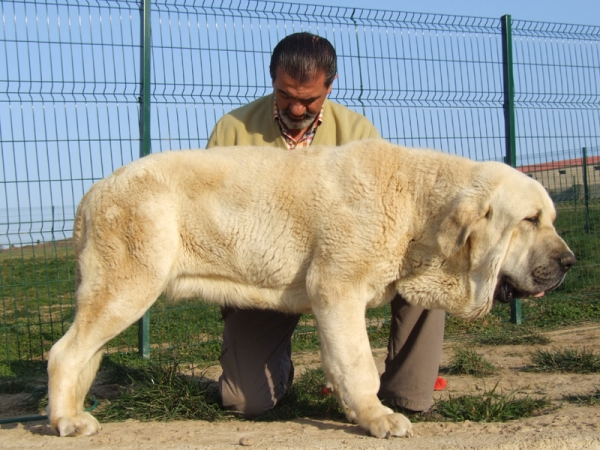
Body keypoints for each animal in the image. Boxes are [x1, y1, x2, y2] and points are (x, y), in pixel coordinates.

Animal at [48, 139, 576, 438]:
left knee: (86, 354)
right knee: (64, 353)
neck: (417, 206)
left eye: (550, 218)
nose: (569, 262)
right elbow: (358, 365)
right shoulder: (337, 289)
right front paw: (377, 418)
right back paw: (64, 421)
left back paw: (72, 411)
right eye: (530, 220)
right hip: (128, 284)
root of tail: (90, 194)